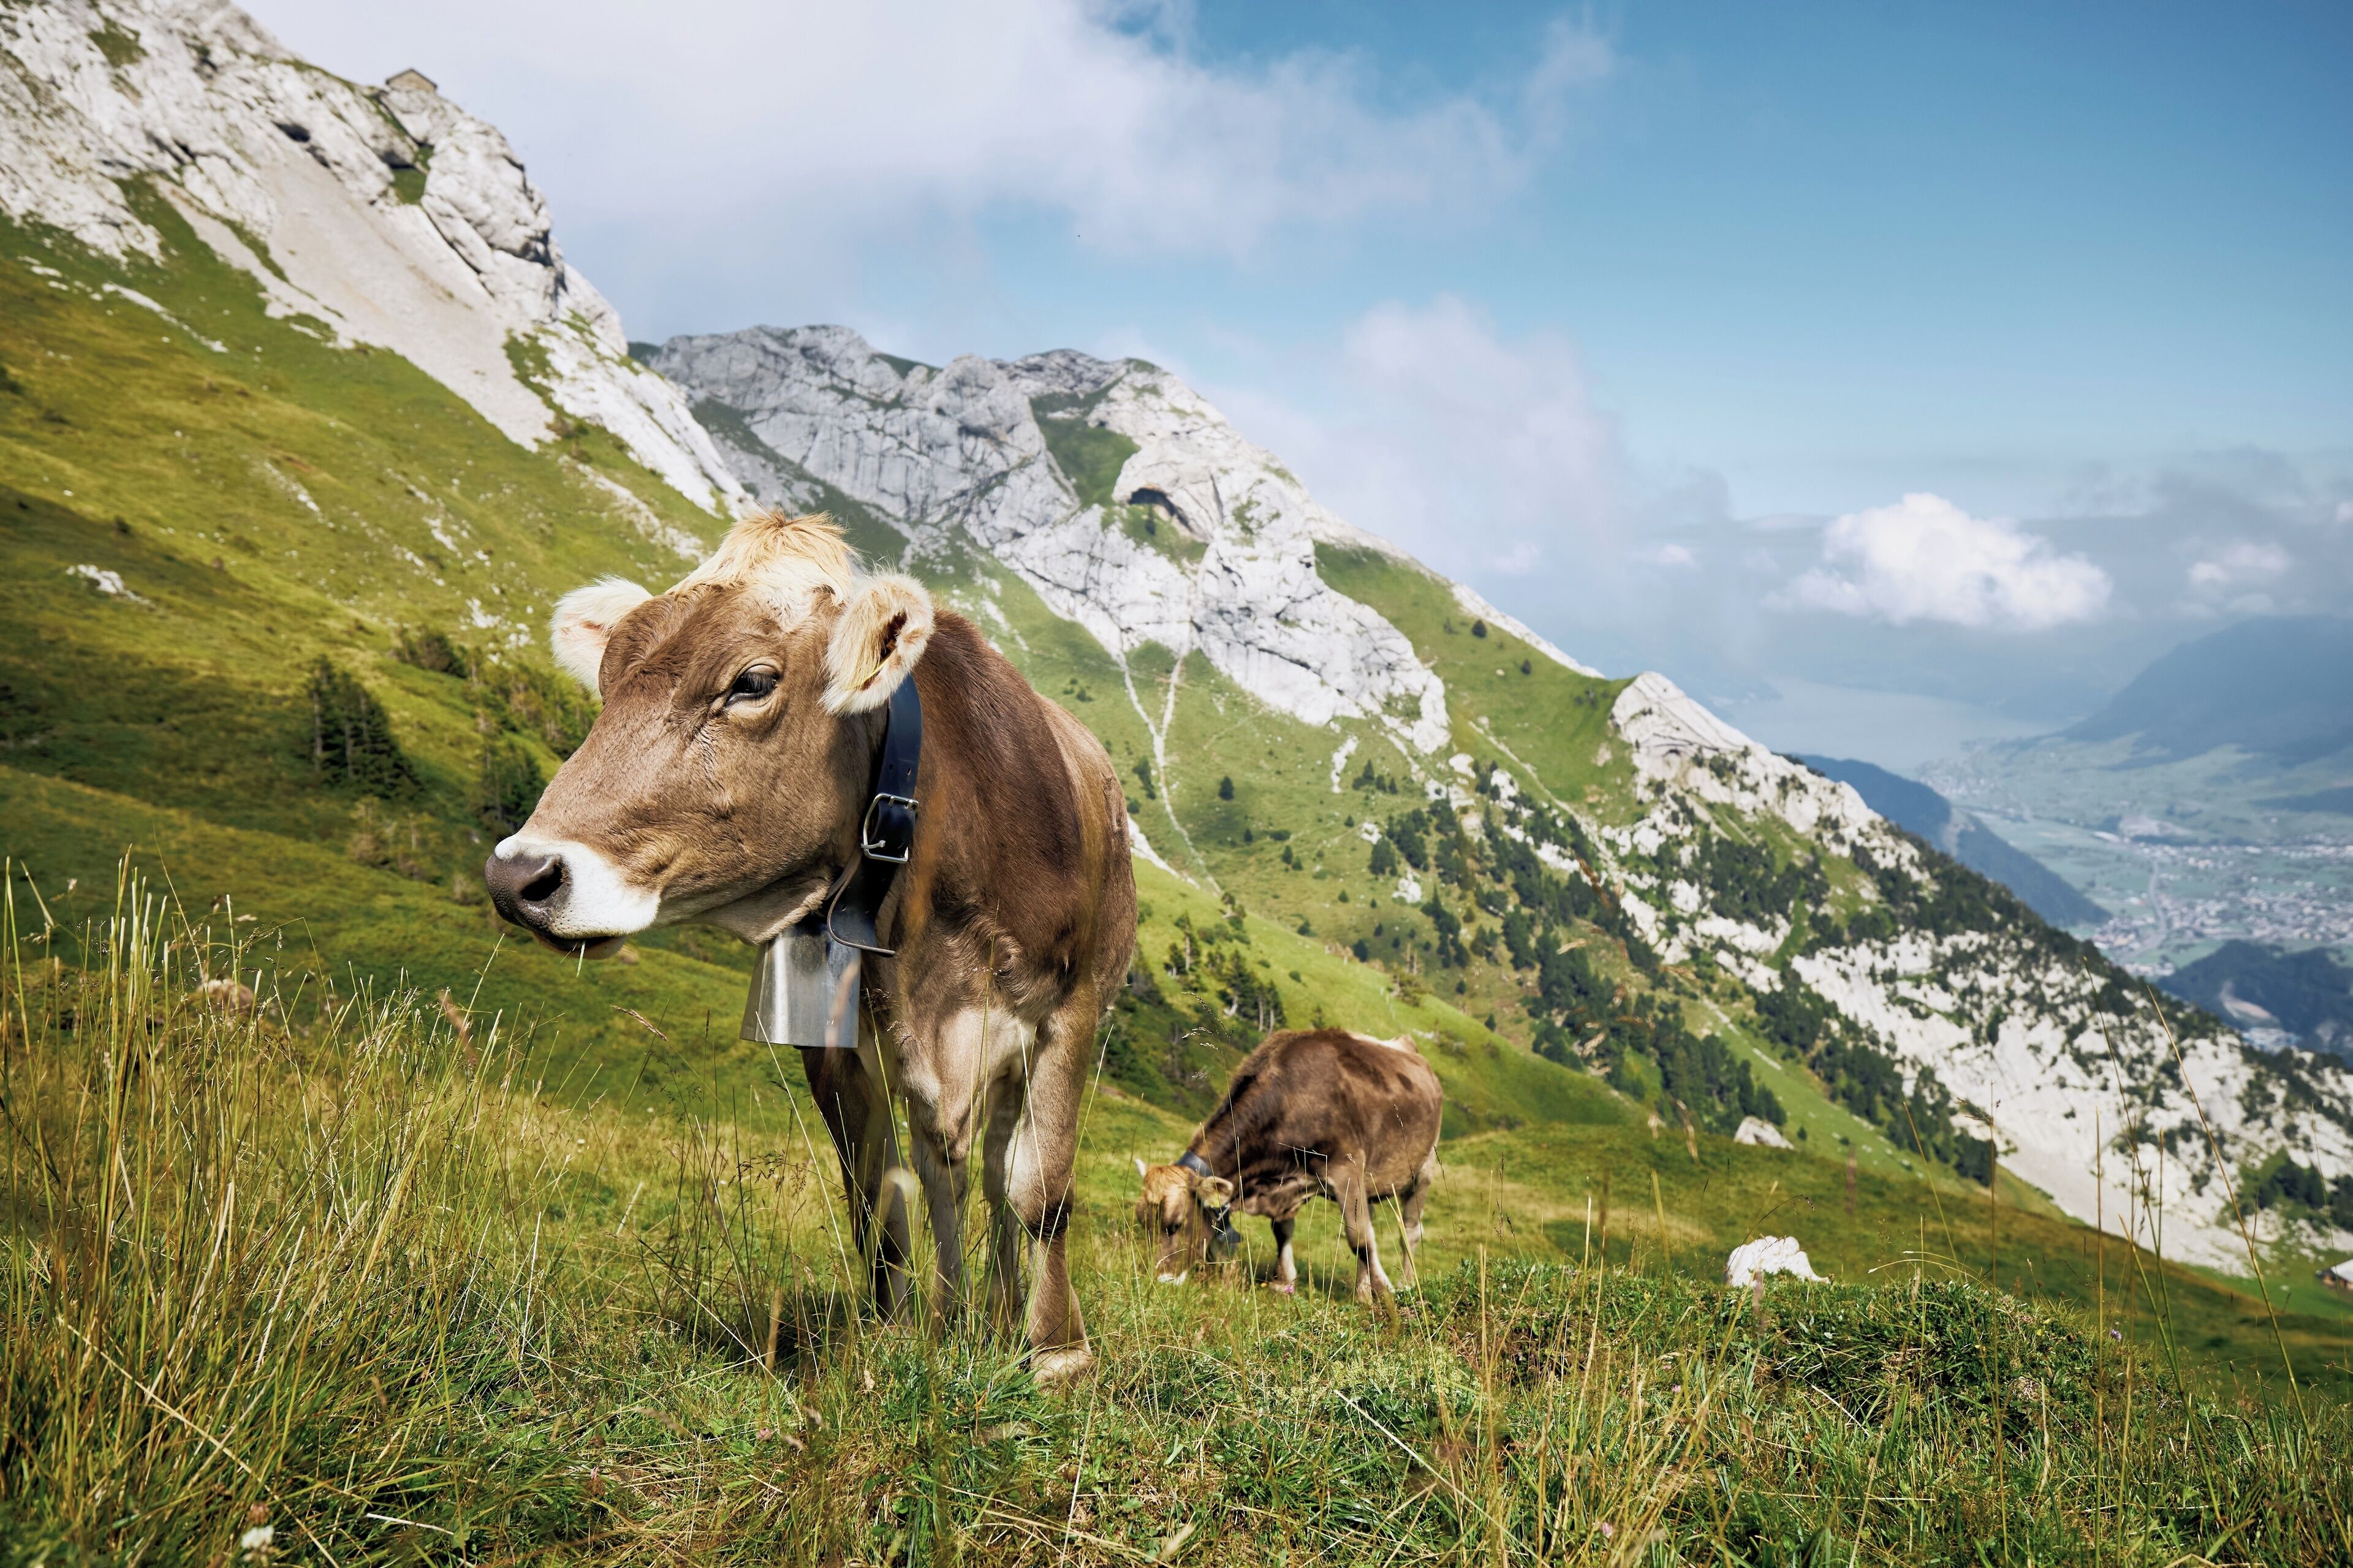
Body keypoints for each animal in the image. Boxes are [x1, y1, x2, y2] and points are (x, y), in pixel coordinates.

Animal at [484, 512, 1135, 1383]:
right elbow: (877, 1193)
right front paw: (899, 1338)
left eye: (753, 682)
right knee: (947, 1164)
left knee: (998, 1175)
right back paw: (963, 1315)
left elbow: (1043, 1190)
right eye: (610, 677)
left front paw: (1059, 1351)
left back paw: (1001, 1316)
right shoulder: (839, 1046)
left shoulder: (1072, 1010)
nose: (518, 875)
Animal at [1135, 1028, 1441, 1302]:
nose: (1162, 1280)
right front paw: (1284, 1282)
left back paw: (1405, 1284)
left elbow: (1360, 1239)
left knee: (1410, 1231)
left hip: (1424, 1166)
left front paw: (1386, 1292)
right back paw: (1363, 1292)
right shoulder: (1285, 1186)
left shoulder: (1347, 1169)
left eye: (1176, 1225)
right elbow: (1283, 1231)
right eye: (1142, 1222)